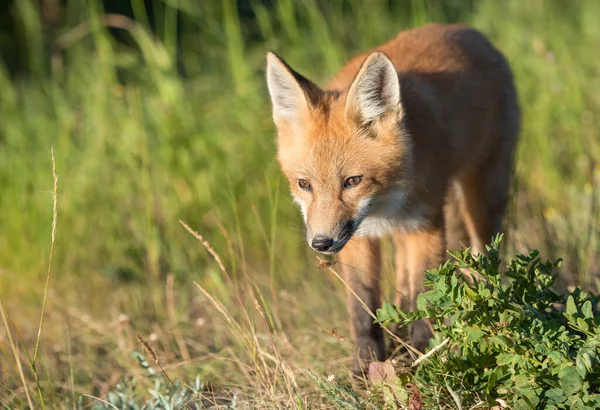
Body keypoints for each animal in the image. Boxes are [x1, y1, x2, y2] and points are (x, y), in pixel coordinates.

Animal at [264, 24, 516, 372]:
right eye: (304, 184)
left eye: (352, 181)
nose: (321, 243)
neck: (383, 205)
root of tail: (465, 30)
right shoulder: (358, 238)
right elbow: (363, 310)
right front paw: (364, 370)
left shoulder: (425, 224)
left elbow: (424, 299)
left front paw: (422, 363)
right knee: (402, 286)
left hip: (482, 200)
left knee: (484, 262)